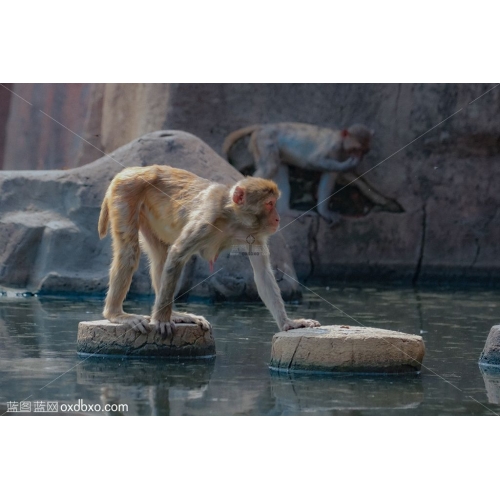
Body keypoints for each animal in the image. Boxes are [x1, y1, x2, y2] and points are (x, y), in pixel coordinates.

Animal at [97, 164, 320, 336]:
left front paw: (288, 323)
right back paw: (116, 314)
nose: (277, 219)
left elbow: (263, 273)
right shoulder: (206, 220)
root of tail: (132, 169)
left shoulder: (255, 235)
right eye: (270, 204)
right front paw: (161, 320)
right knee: (130, 251)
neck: (235, 220)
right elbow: (177, 254)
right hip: (125, 192)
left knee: (160, 255)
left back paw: (175, 314)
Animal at [223, 122, 378, 224]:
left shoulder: (338, 155)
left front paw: (324, 212)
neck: (341, 142)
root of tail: (263, 126)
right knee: (270, 167)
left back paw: (286, 211)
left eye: (364, 151)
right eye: (356, 150)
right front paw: (350, 164)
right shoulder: (332, 147)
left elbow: (329, 177)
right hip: (265, 141)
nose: (359, 158)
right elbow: (315, 161)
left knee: (279, 170)